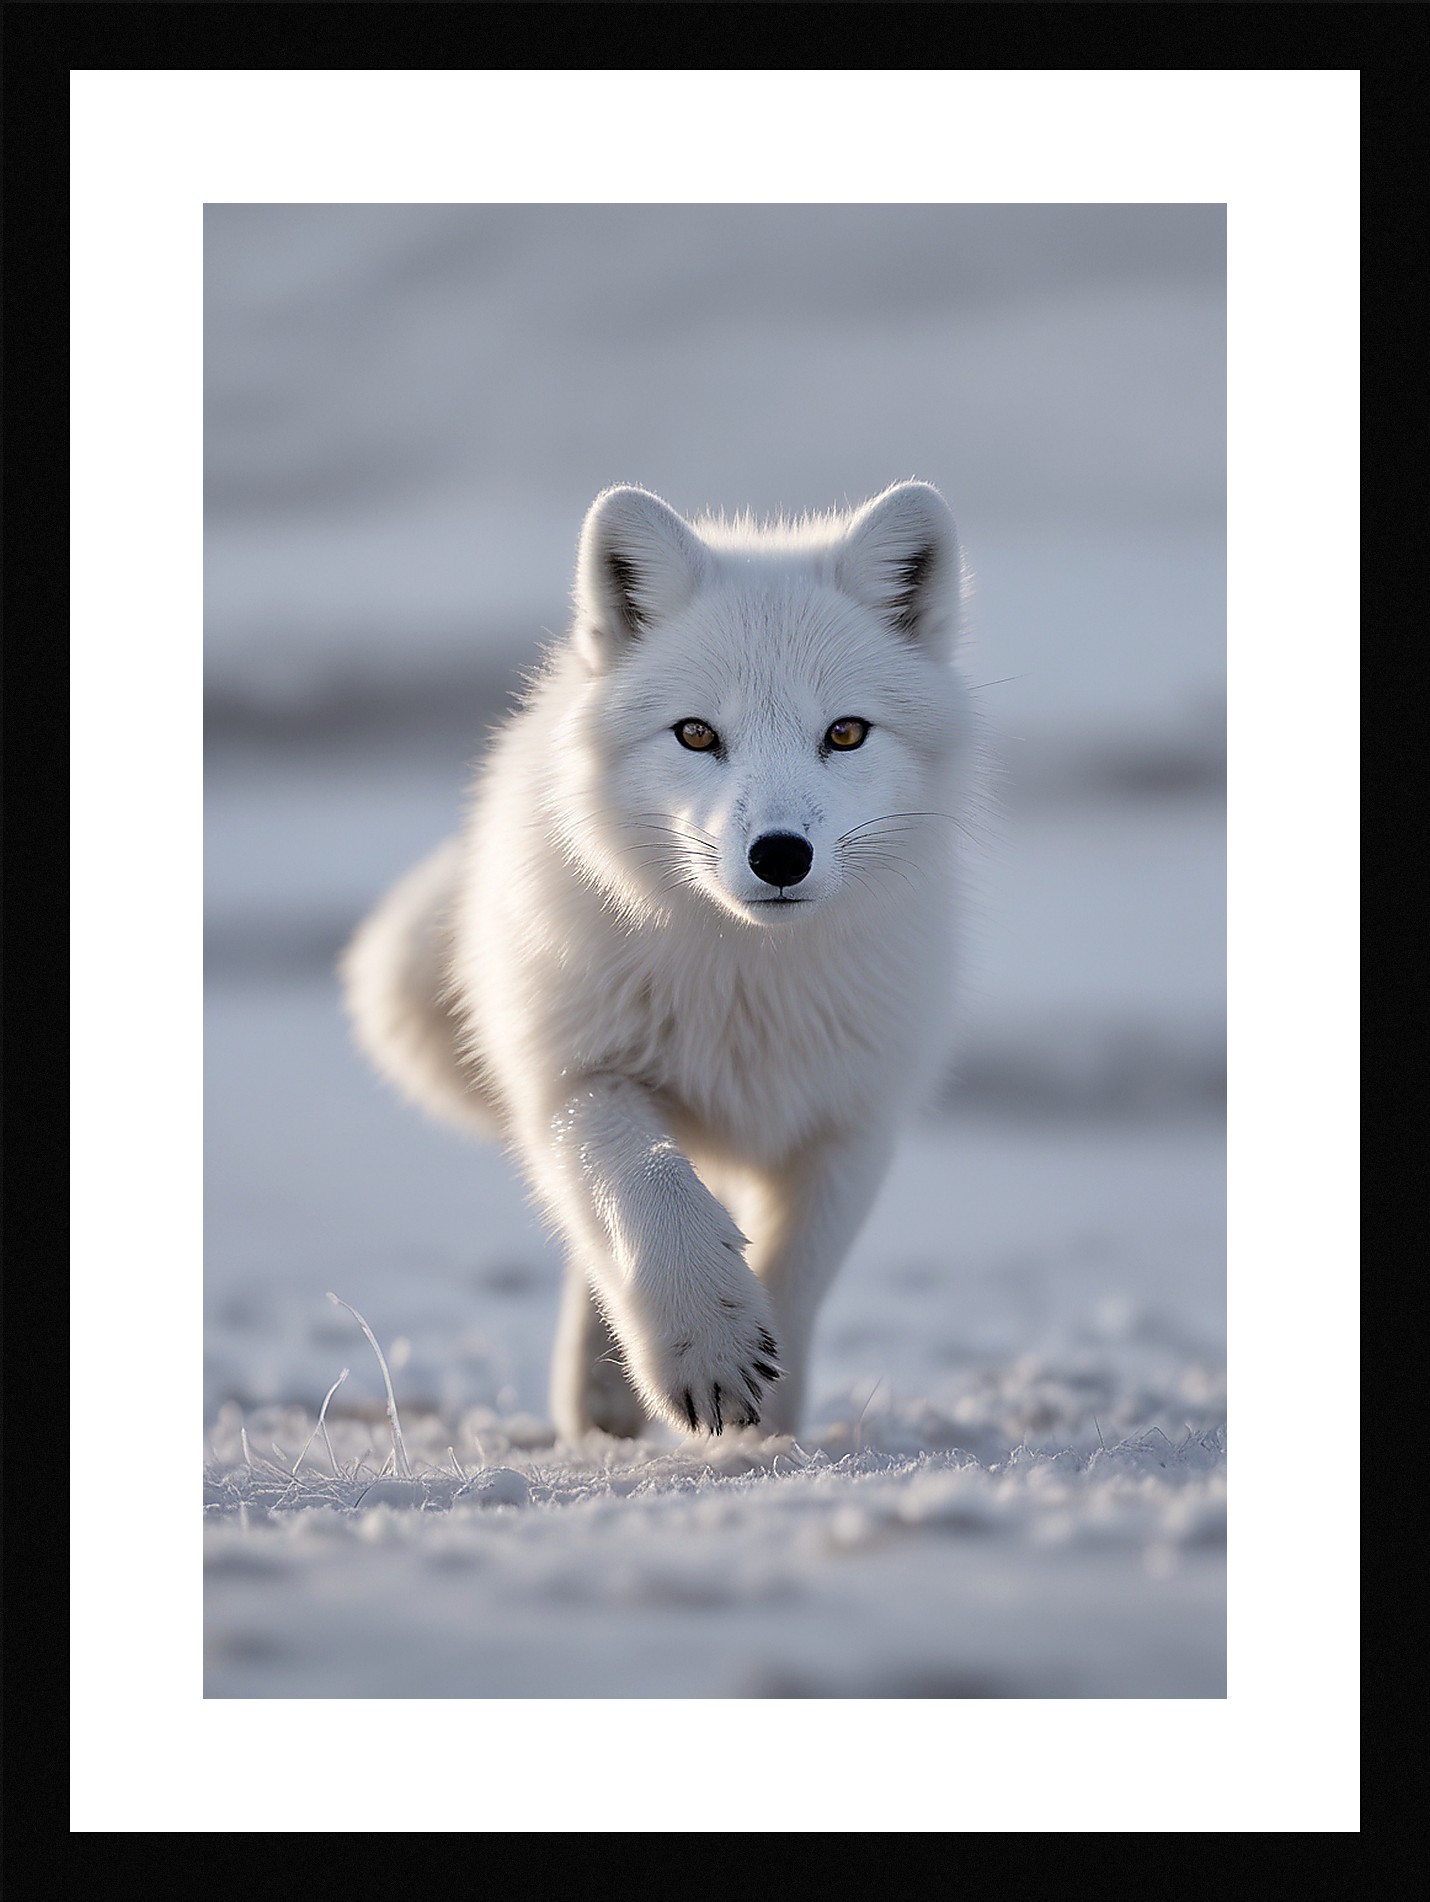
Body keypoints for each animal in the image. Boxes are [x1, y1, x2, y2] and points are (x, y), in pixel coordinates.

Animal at [341, 481, 975, 1443]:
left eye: (846, 732)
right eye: (696, 735)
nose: (780, 855)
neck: (746, 984)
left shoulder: (851, 1122)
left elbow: (797, 1275)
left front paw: (770, 1422)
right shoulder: (577, 1075)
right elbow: (646, 1182)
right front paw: (704, 1345)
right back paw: (600, 1397)